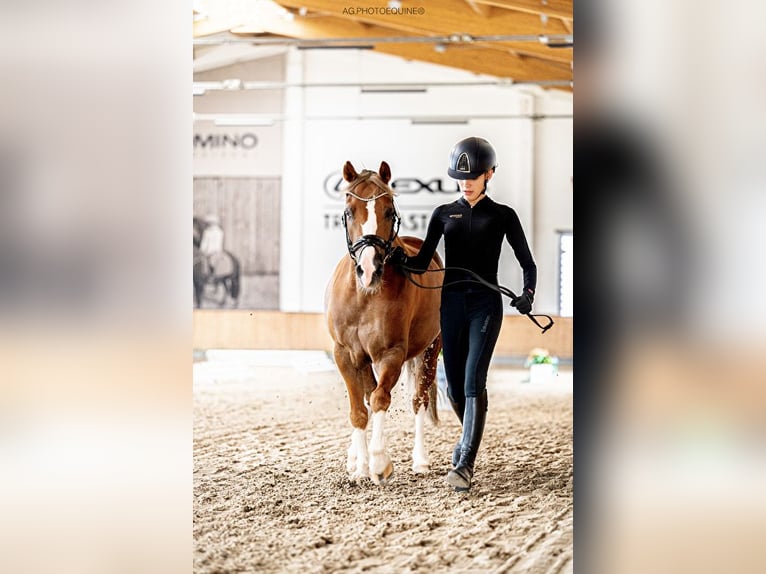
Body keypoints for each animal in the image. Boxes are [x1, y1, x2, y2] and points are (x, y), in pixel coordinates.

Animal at [324, 161, 444, 486]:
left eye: (389, 211)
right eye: (349, 211)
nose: (369, 269)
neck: (364, 295)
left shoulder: (391, 354)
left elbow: (380, 399)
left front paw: (379, 463)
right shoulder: (345, 354)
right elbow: (359, 410)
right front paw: (361, 467)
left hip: (430, 351)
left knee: (418, 399)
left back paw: (420, 461)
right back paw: (355, 459)